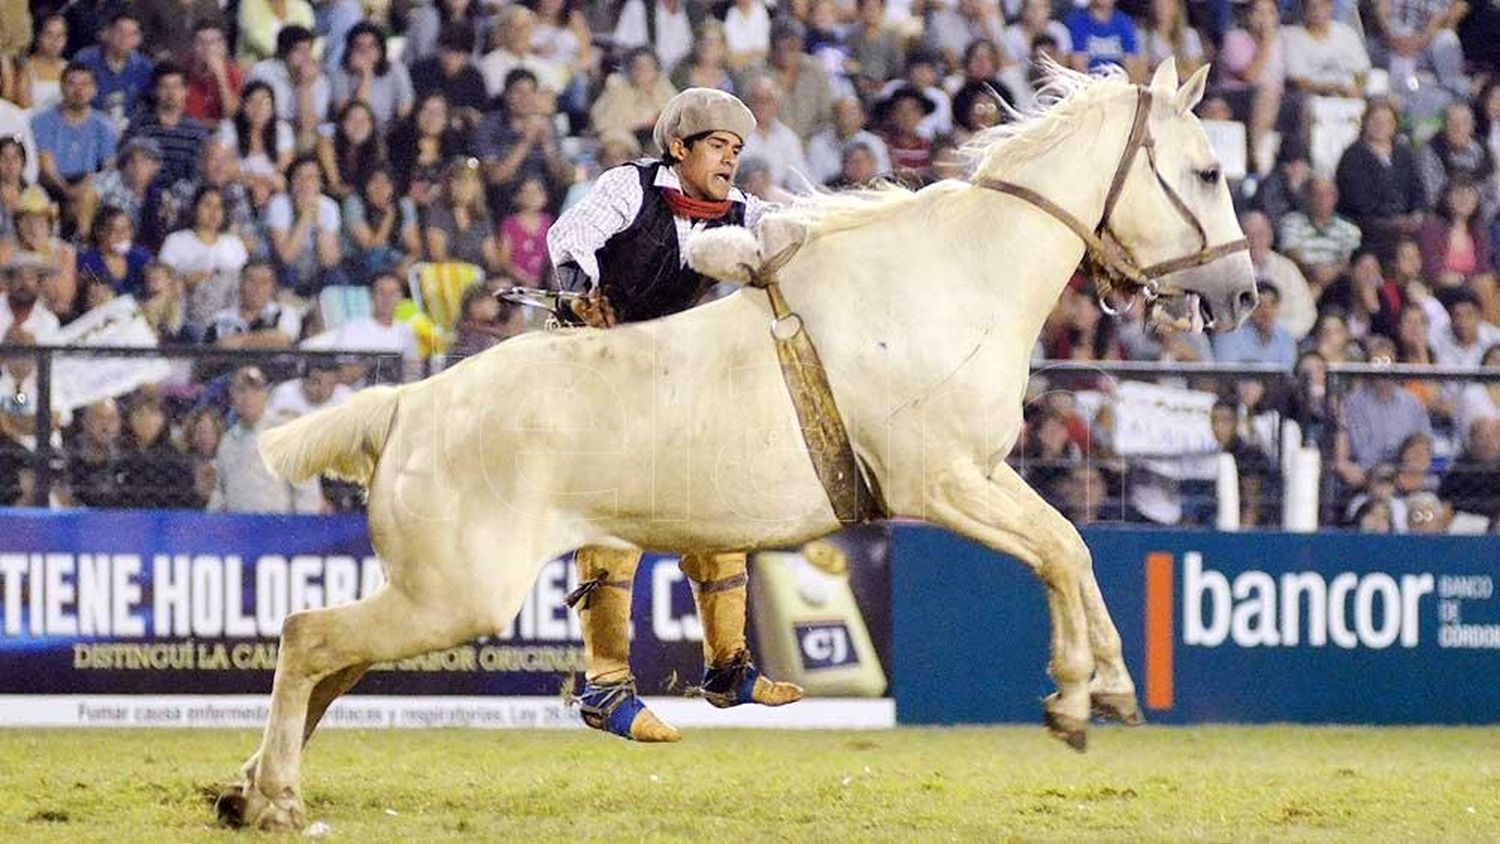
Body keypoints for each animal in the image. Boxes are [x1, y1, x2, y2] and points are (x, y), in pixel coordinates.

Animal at [219, 61, 1254, 833]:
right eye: (1208, 171)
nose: (1244, 293)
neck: (953, 279)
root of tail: (409, 404)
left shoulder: (986, 473)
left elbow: (1069, 549)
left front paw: (1103, 691)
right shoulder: (942, 483)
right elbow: (1056, 552)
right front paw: (1078, 698)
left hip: (437, 589)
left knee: (331, 662)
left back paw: (246, 788)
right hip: (456, 593)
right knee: (309, 638)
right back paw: (277, 798)